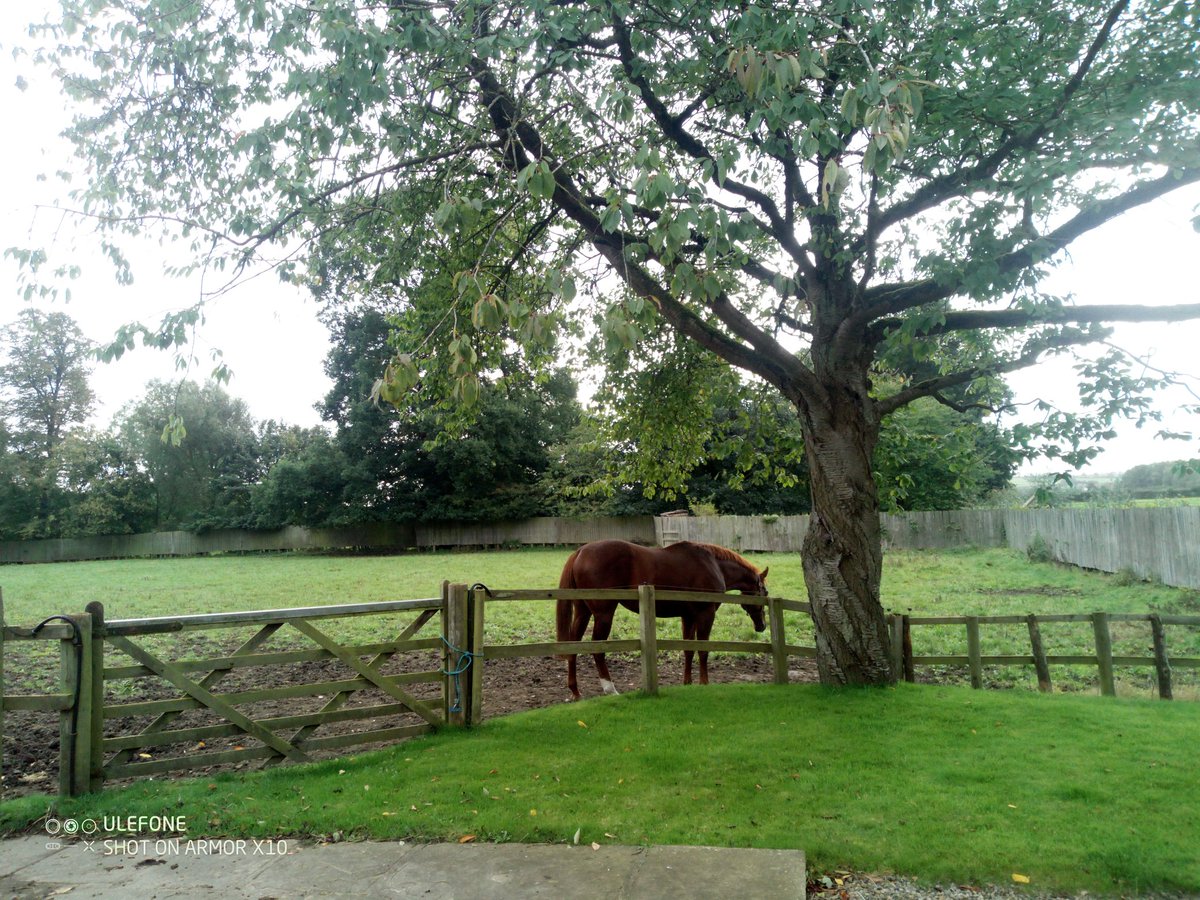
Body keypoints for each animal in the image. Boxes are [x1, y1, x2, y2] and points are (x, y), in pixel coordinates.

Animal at [556, 539, 768, 699]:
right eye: (765, 592)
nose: (762, 626)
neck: (713, 565)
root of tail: (581, 551)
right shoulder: (705, 615)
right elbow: (703, 650)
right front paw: (704, 683)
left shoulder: (688, 616)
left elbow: (688, 650)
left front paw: (687, 683)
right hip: (604, 614)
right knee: (598, 649)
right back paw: (610, 689)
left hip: (583, 611)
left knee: (574, 645)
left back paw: (575, 691)